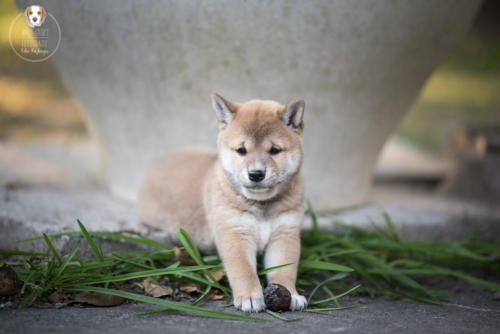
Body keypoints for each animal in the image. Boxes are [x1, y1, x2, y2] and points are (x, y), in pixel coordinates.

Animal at [139, 94, 306, 314]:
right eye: (241, 150)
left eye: (275, 150)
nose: (256, 174)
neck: (262, 205)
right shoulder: (234, 233)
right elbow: (243, 270)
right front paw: (250, 297)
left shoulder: (285, 234)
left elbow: (285, 269)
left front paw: (291, 294)